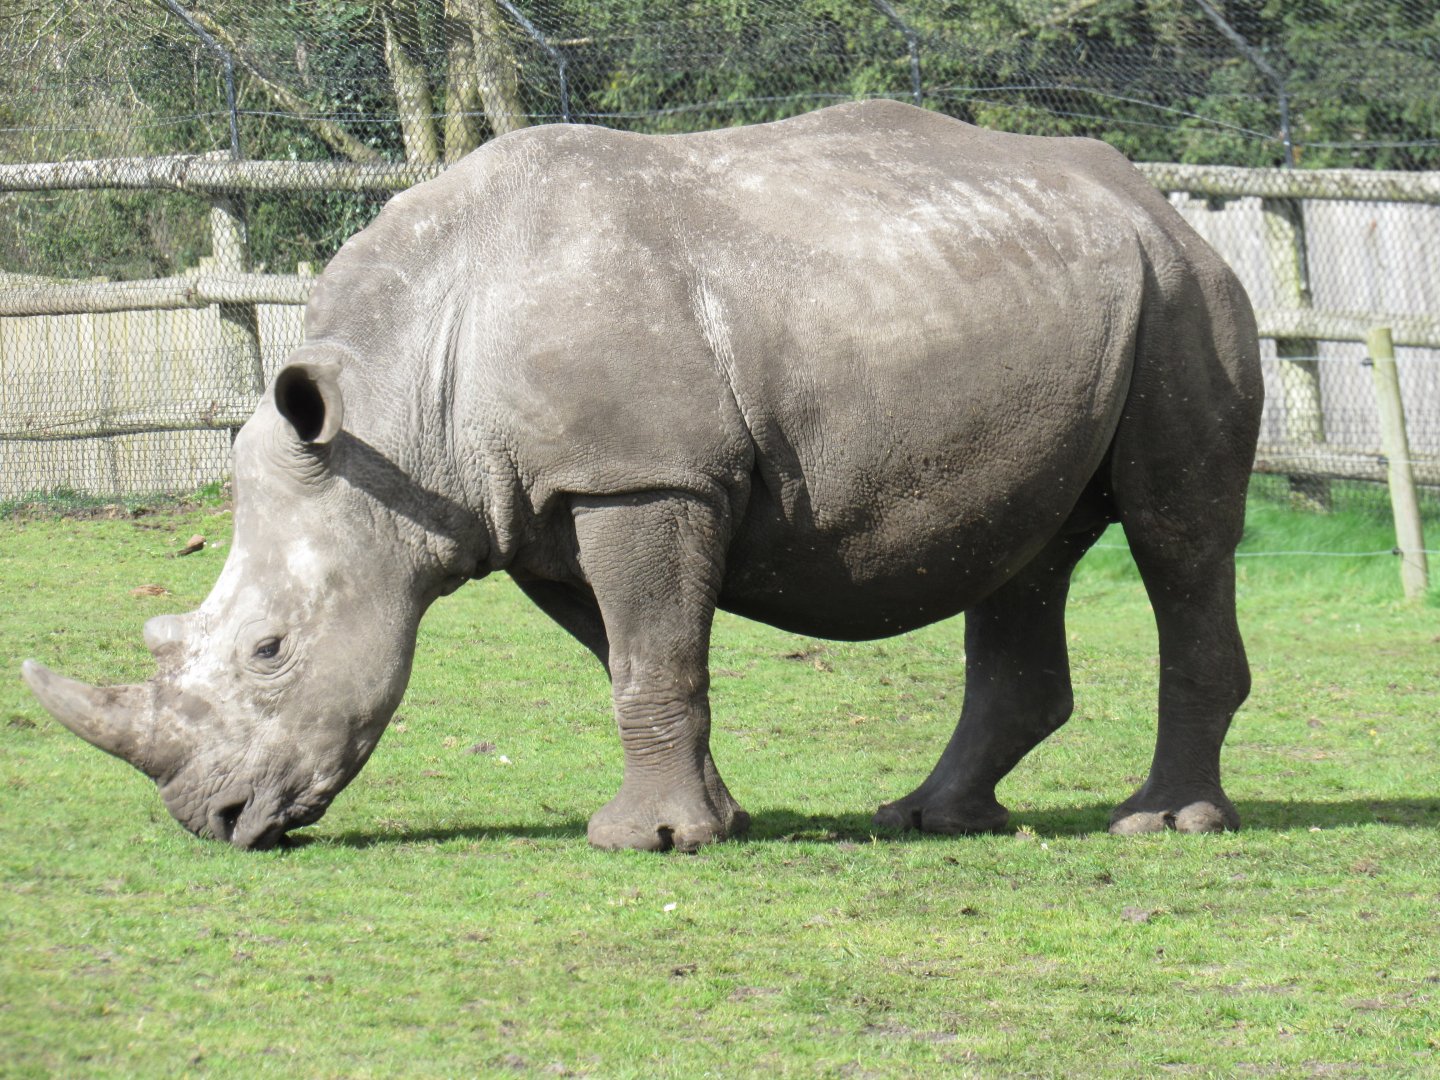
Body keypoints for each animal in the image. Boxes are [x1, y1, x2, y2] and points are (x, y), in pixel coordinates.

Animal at [23, 101, 1261, 851]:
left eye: (271, 652)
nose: (214, 818)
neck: (396, 408)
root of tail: (1160, 204)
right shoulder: (549, 504)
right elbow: (636, 655)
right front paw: (706, 823)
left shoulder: (641, 477)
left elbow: (652, 649)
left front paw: (647, 843)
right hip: (1074, 295)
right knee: (1029, 551)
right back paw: (925, 817)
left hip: (1184, 299)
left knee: (1179, 535)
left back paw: (1163, 825)